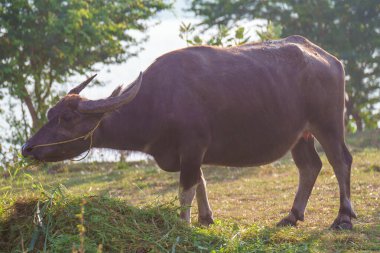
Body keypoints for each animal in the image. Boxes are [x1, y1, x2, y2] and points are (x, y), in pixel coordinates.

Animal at [22, 35, 356, 229]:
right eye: (50, 114)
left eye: (66, 117)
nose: (28, 149)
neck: (158, 100)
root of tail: (328, 58)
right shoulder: (190, 153)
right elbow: (201, 182)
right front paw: (206, 218)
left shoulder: (193, 147)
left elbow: (186, 188)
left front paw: (183, 225)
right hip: (300, 135)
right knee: (310, 166)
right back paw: (291, 215)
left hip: (328, 124)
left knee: (341, 160)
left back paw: (343, 217)